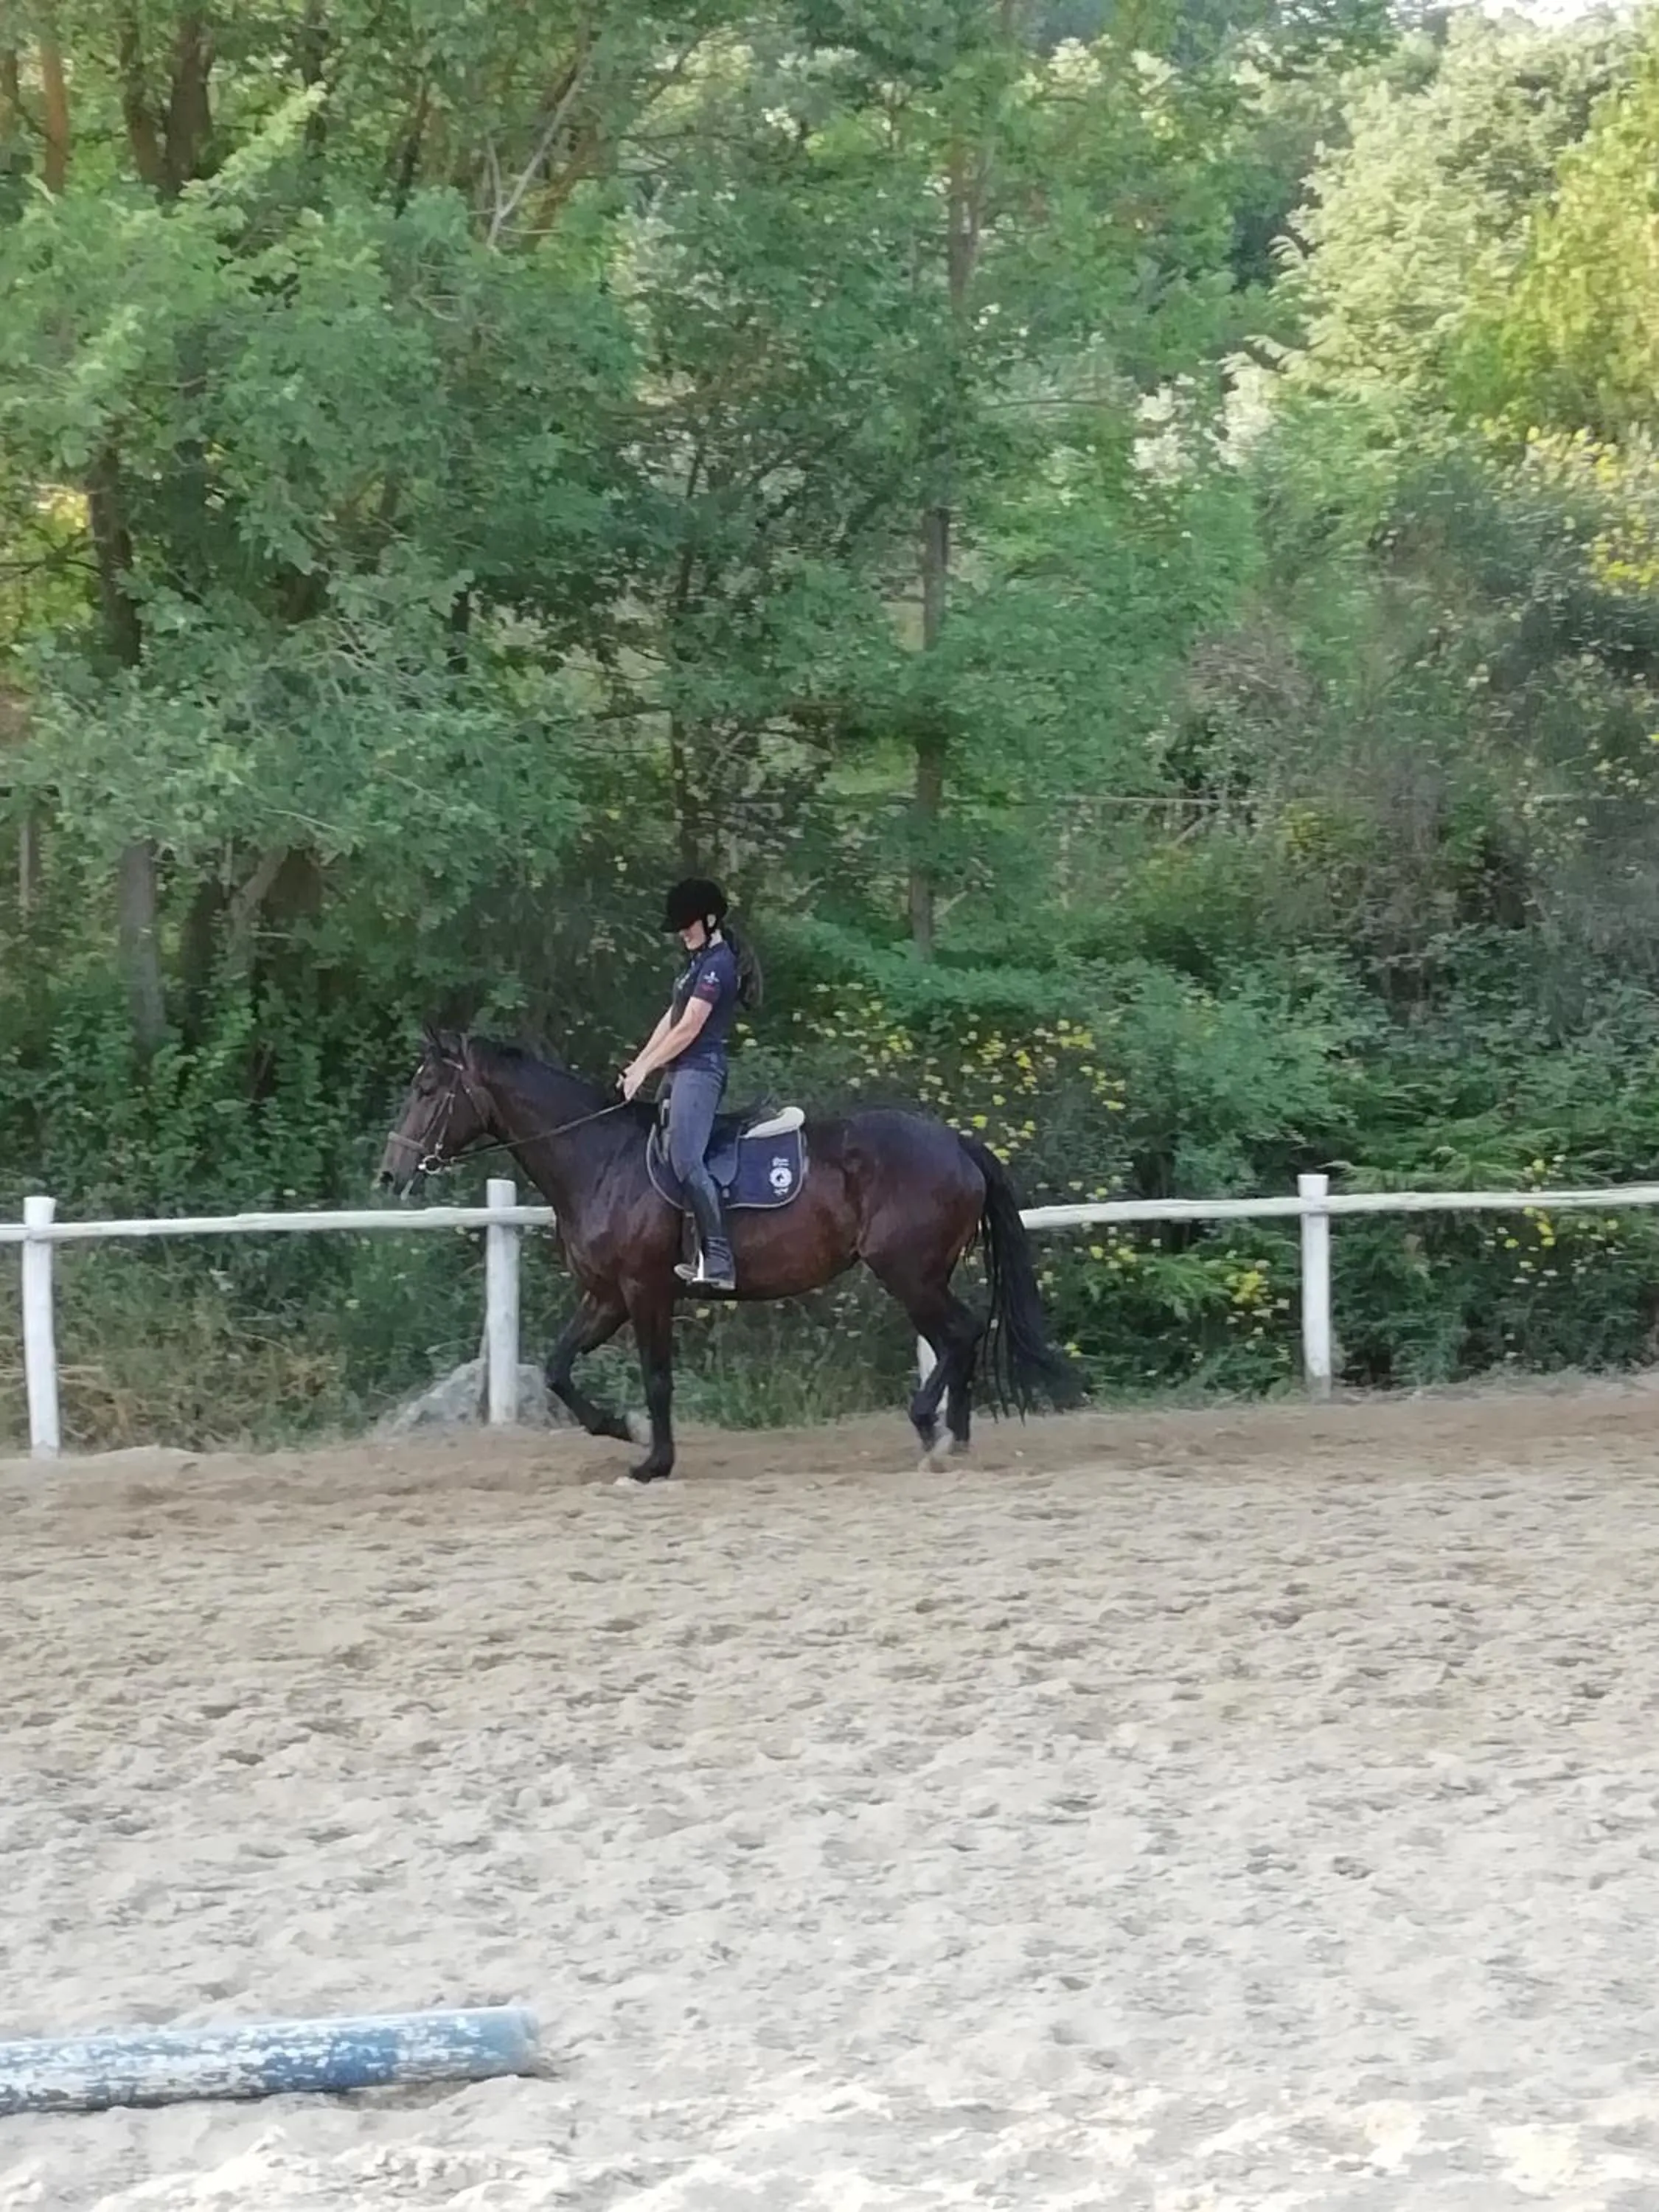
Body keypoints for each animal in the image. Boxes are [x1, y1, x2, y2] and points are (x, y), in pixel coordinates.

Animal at [377, 1028, 1079, 1483]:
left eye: (428, 1087)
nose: (391, 1173)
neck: (602, 1161)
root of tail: (956, 1143)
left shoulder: (645, 1291)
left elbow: (658, 1379)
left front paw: (653, 1462)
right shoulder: (606, 1295)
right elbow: (557, 1369)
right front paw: (625, 1431)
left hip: (908, 1272)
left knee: (959, 1334)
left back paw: (935, 1432)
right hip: (920, 1274)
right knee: (960, 1336)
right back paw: (953, 1441)